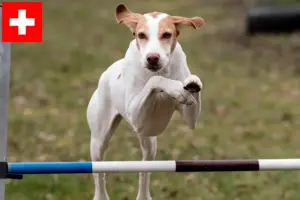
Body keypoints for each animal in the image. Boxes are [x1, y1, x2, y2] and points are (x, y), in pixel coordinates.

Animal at [85, 3, 205, 200]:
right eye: (141, 35)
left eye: (167, 35)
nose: (152, 57)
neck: (162, 71)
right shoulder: (136, 115)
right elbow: (155, 81)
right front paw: (173, 87)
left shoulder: (190, 118)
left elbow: (191, 99)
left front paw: (192, 83)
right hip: (99, 141)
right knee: (99, 173)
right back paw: (101, 195)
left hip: (149, 144)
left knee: (144, 170)